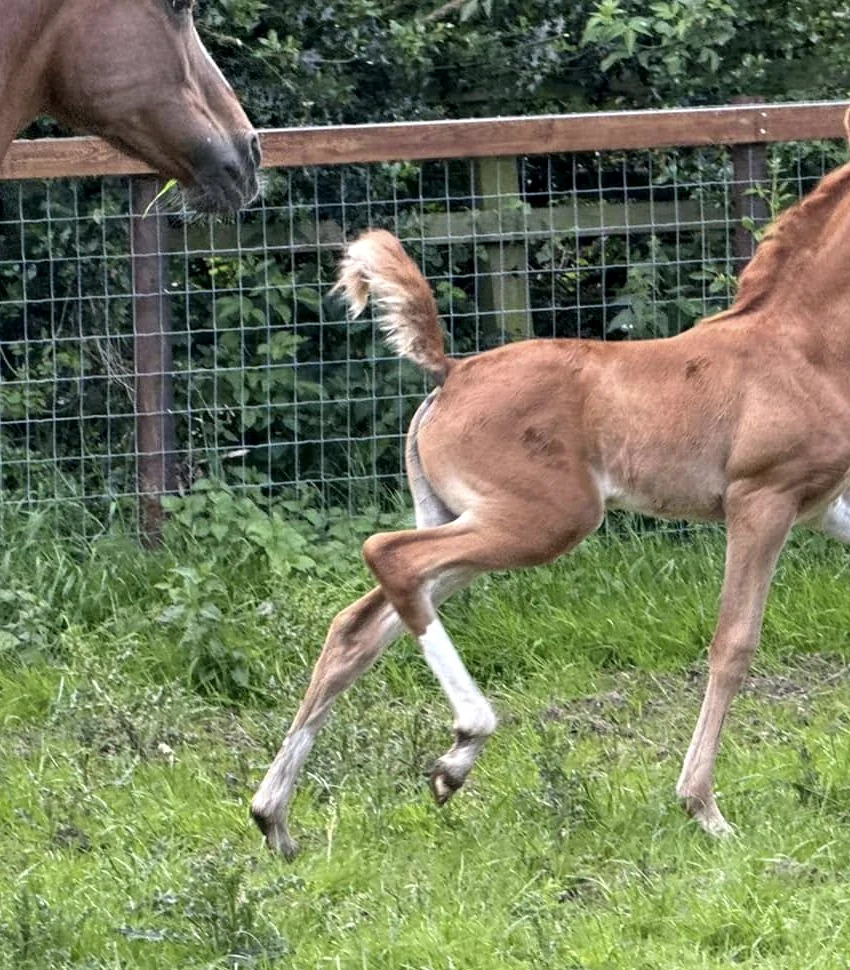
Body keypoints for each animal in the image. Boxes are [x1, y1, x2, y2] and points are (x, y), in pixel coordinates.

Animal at [251, 113, 850, 858]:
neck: (804, 349)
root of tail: (453, 372)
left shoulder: (825, 506)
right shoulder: (760, 500)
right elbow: (732, 644)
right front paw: (703, 807)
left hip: (469, 519)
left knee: (360, 623)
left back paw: (277, 818)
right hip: (545, 520)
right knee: (389, 556)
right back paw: (461, 747)